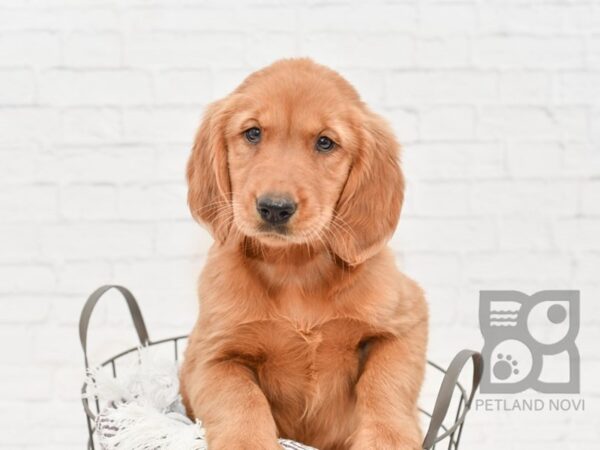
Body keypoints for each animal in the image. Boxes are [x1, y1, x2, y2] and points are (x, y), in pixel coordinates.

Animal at [180, 58, 428, 448]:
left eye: (325, 142)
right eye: (253, 133)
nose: (275, 208)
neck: (295, 269)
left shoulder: (407, 321)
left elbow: (386, 383)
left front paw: (388, 439)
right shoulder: (210, 356)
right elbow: (240, 400)